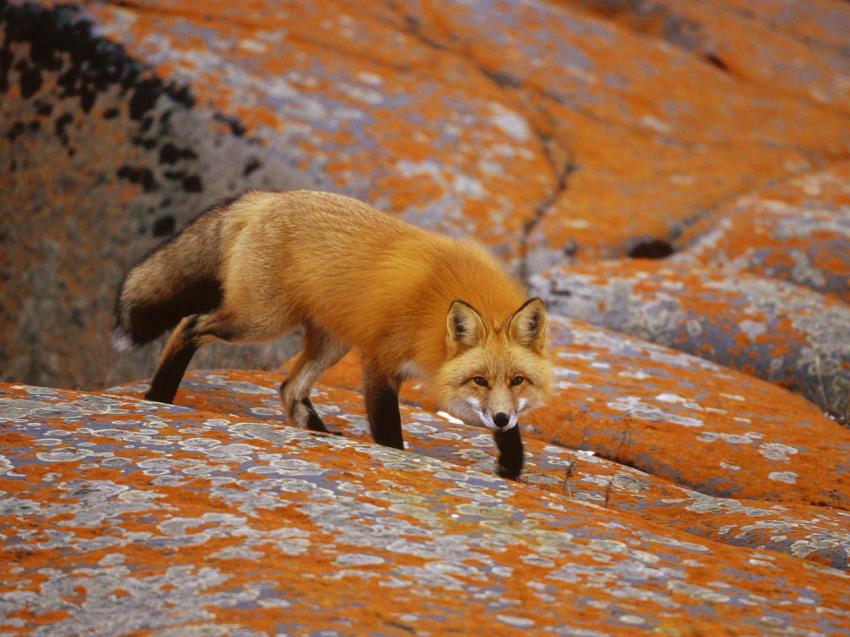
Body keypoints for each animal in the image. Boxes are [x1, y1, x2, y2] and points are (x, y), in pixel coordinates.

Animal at [113, 191, 553, 479]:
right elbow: (388, 430)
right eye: (479, 380)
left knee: (290, 388)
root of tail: (268, 197)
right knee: (189, 325)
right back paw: (159, 395)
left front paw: (511, 464)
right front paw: (396, 459)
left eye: (518, 380)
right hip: (258, 321)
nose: (499, 418)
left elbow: (513, 433)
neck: (435, 310)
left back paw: (323, 436)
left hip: (331, 341)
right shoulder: (379, 360)